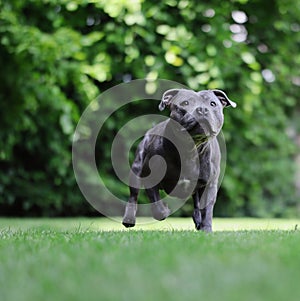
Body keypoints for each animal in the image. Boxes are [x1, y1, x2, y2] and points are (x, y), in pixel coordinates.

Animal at [122, 88, 237, 231]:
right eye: (185, 103)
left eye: (212, 104)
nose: (202, 109)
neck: (190, 148)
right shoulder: (150, 177)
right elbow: (157, 206)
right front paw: (165, 210)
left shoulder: (209, 184)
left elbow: (207, 210)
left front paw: (206, 229)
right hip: (136, 169)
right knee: (133, 195)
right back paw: (128, 219)